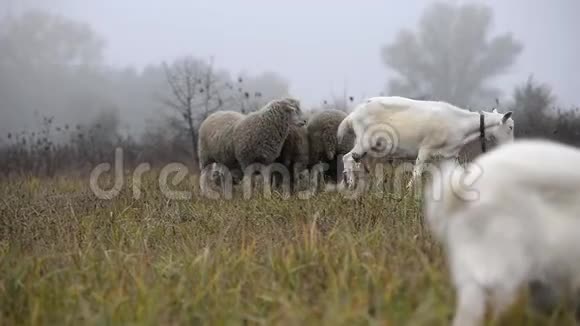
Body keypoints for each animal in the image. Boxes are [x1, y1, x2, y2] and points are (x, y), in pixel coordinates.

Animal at [338, 96, 516, 188]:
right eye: (511, 127)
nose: (510, 147)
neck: (461, 125)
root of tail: (353, 114)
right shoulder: (425, 149)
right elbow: (417, 174)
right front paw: (409, 193)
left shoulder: (448, 156)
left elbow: (456, 174)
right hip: (364, 141)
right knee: (348, 158)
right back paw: (350, 183)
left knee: (357, 162)